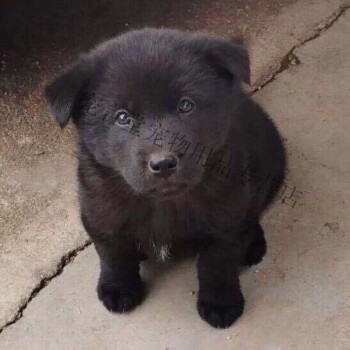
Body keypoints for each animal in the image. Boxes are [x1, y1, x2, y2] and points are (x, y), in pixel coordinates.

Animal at [44, 28, 284, 328]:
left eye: (186, 105)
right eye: (122, 117)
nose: (164, 163)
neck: (162, 204)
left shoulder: (227, 218)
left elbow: (218, 263)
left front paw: (220, 301)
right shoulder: (100, 212)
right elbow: (113, 255)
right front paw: (118, 288)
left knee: (252, 216)